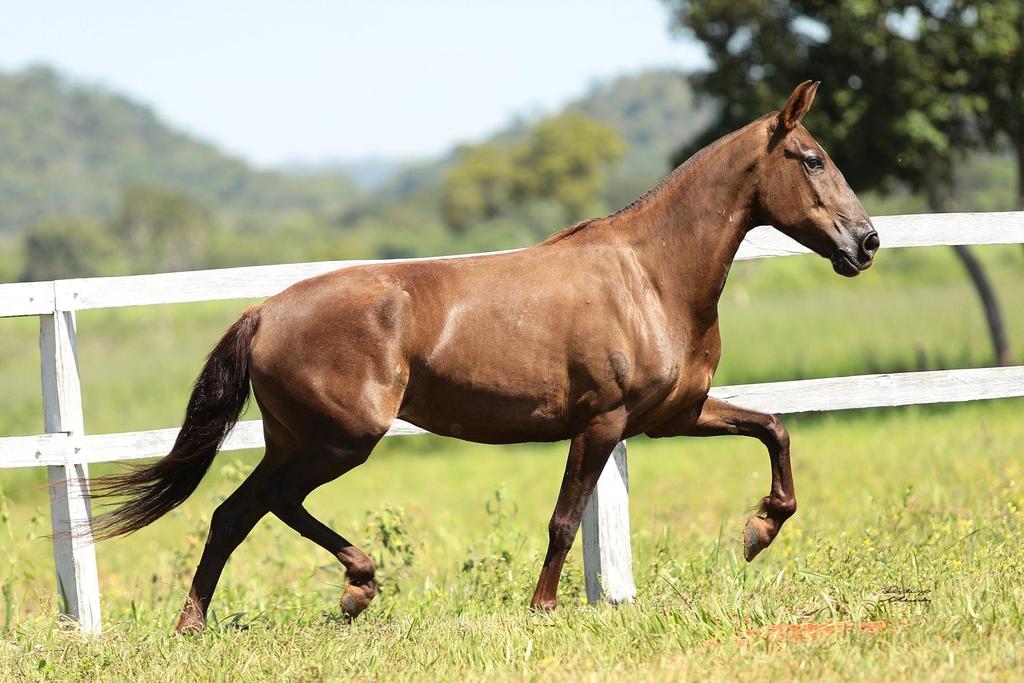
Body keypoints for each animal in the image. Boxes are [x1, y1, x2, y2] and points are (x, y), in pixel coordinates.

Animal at [90, 81, 880, 634]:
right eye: (812, 158)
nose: (867, 242)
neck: (651, 277)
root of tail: (265, 312)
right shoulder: (603, 421)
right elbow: (565, 518)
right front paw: (544, 608)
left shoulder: (673, 415)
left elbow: (774, 428)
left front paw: (758, 531)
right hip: (340, 438)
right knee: (270, 503)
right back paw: (356, 586)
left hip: (298, 438)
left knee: (234, 512)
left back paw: (202, 622)